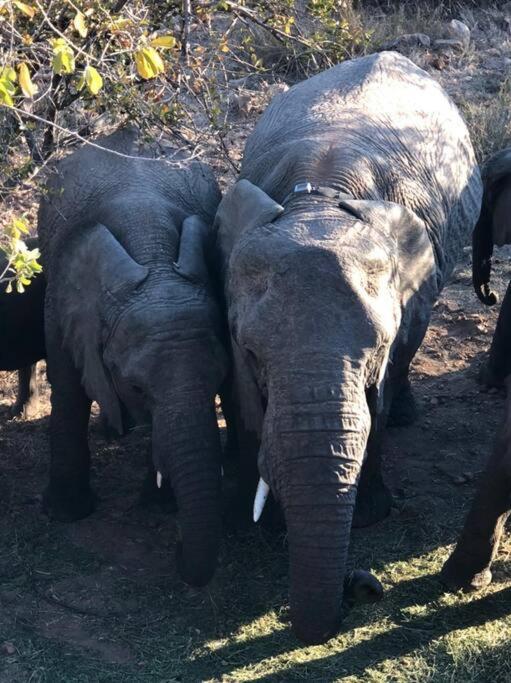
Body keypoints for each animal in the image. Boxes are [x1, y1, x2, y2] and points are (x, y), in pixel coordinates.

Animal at [36, 127, 228, 588]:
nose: (177, 552)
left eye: (220, 382)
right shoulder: (61, 302)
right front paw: (66, 514)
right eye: (136, 385)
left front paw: (159, 507)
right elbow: (68, 390)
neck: (152, 252)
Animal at [216, 50, 484, 644]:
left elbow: (385, 388)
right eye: (253, 354)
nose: (362, 584)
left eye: (376, 352)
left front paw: (370, 514)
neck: (321, 202)